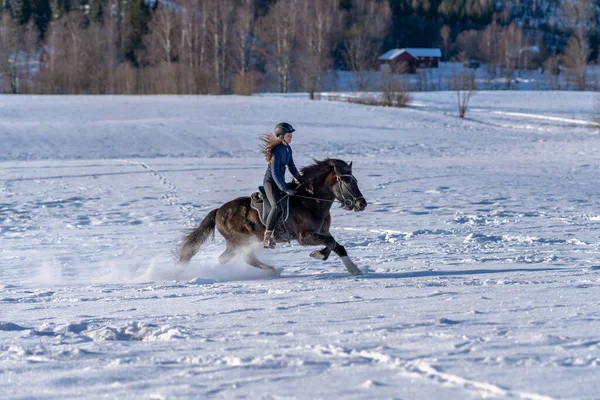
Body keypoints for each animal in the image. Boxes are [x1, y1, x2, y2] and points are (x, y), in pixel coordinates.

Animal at [176, 159, 368, 276]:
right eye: (346, 180)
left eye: (356, 180)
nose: (362, 204)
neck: (310, 202)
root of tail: (219, 211)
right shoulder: (304, 237)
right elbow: (331, 242)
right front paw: (318, 254)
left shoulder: (322, 232)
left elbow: (336, 245)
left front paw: (353, 269)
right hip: (239, 240)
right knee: (233, 258)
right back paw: (272, 270)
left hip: (244, 241)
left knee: (239, 258)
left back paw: (271, 270)